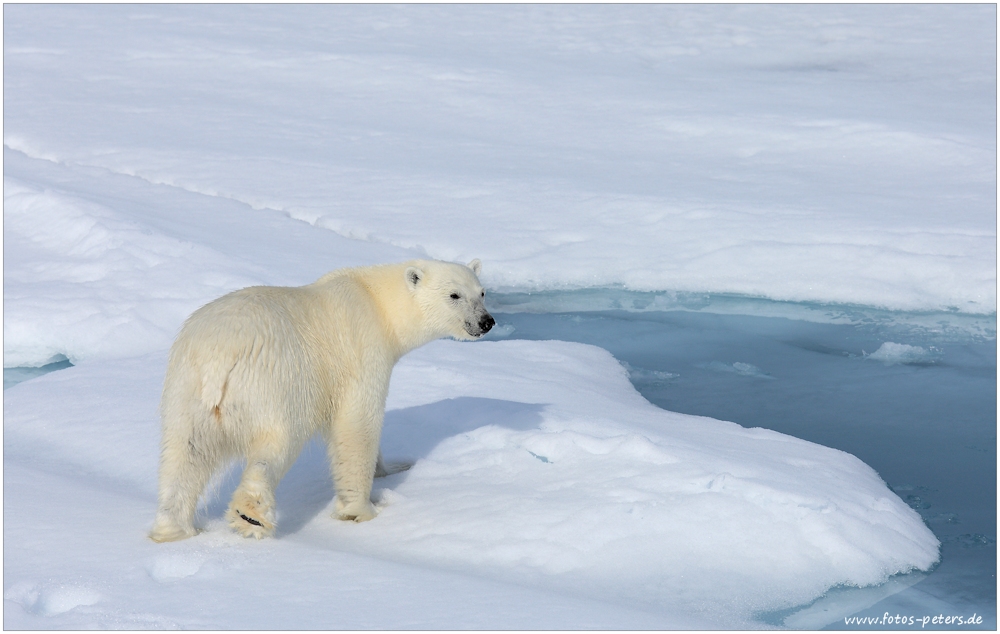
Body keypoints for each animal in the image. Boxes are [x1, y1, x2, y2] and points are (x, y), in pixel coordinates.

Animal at [149, 256, 492, 540]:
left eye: (482, 292)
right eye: (454, 295)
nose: (486, 321)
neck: (377, 303)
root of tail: (218, 357)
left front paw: (392, 467)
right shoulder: (360, 350)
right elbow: (357, 425)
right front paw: (362, 510)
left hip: (185, 390)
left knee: (184, 453)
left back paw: (173, 529)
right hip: (274, 384)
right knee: (276, 443)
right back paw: (251, 516)